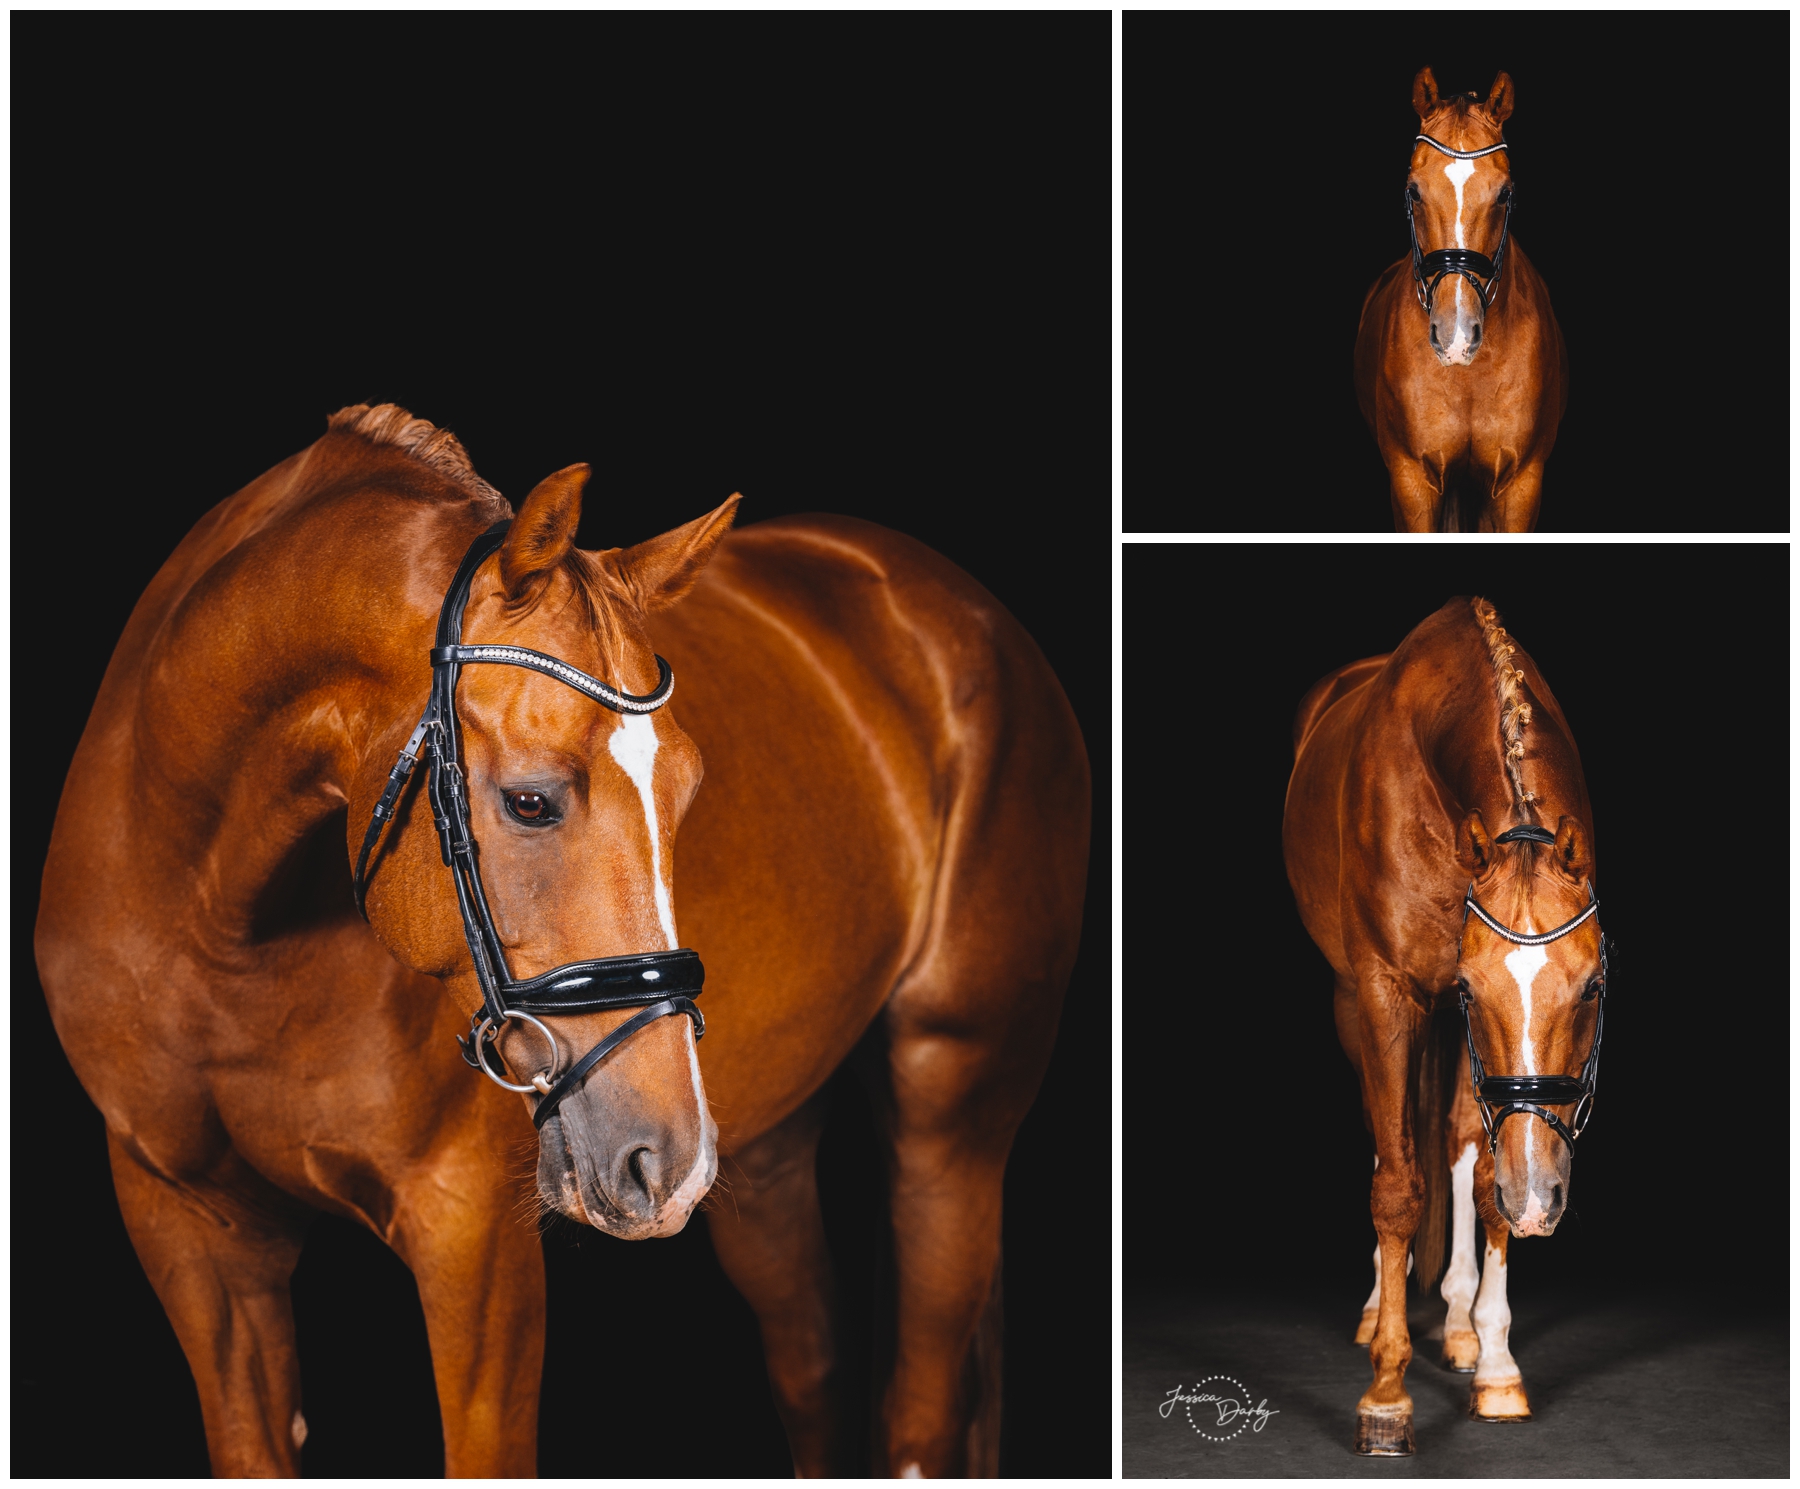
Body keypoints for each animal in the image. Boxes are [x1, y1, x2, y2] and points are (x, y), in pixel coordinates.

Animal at [35, 403, 1090, 1477]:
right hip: (770, 1151)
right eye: (531, 801)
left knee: (921, 1405)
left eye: (689, 792)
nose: (664, 1161)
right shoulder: (191, 1233)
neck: (219, 933)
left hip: (952, 1109)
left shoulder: (473, 1242)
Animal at [1282, 597, 1607, 1455]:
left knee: (1461, 1146)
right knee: (1386, 1137)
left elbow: (1485, 1178)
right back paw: (1377, 1309)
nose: (1542, 1197)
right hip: (1360, 1005)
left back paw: (1459, 1321)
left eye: (1592, 988)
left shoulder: (1478, 1053)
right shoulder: (1394, 993)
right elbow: (1397, 1183)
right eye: (1470, 984)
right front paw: (1386, 1396)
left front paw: (1495, 1362)